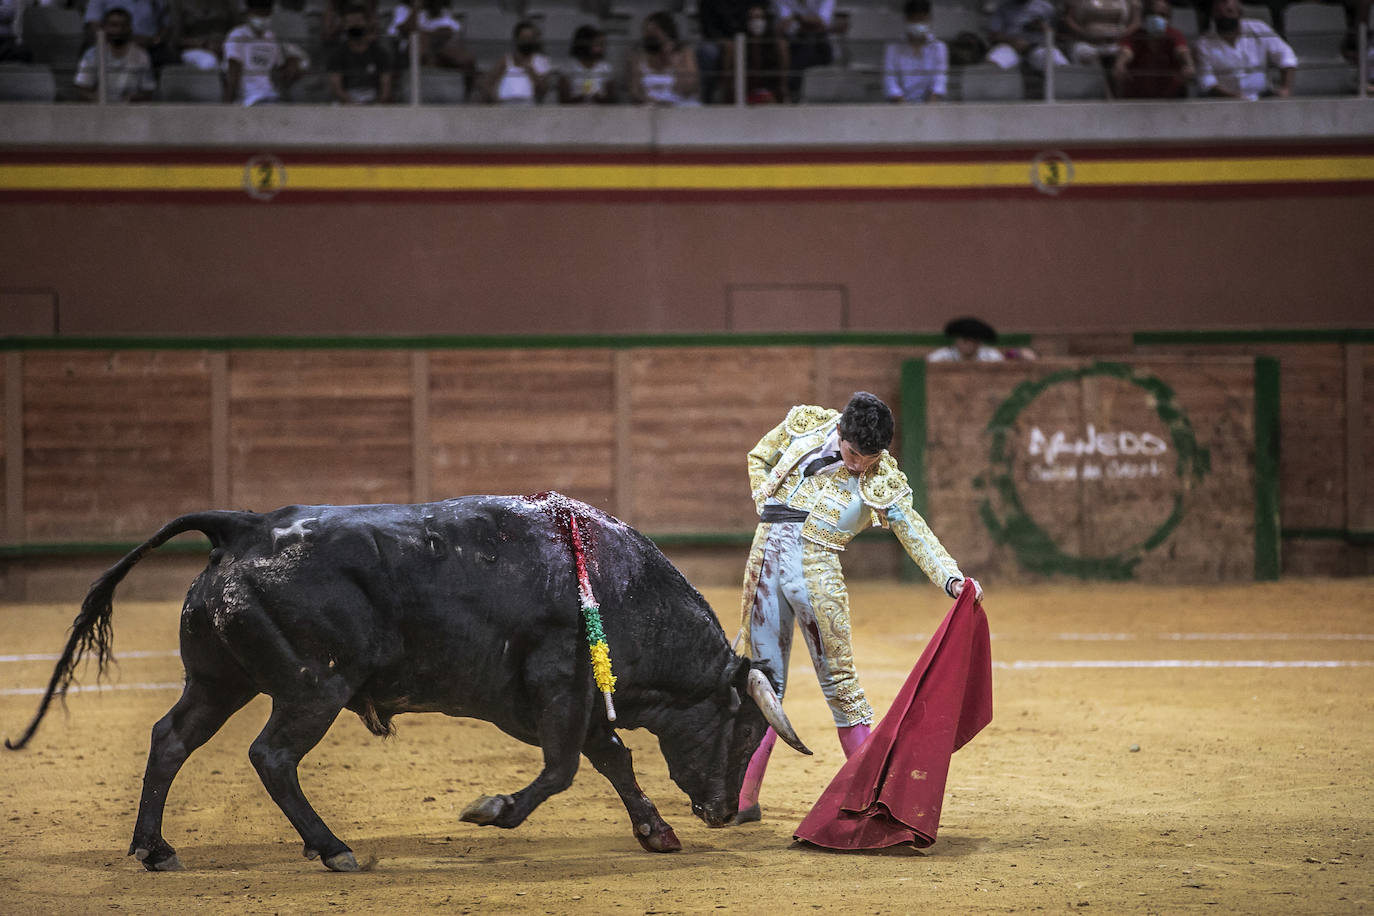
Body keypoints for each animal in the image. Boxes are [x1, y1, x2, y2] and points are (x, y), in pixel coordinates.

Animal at [5, 494, 807, 873]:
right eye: (743, 726)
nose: (724, 813)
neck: (614, 588)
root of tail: (243, 529)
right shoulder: (553, 688)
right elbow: (565, 768)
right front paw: (491, 810)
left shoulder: (550, 702)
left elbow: (609, 759)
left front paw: (656, 831)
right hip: (313, 689)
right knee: (271, 757)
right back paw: (332, 848)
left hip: (218, 680)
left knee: (170, 740)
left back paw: (153, 849)